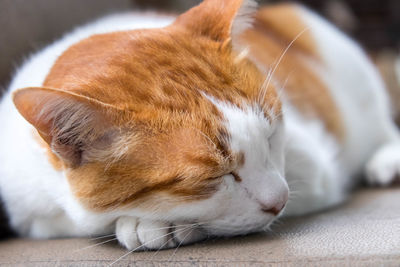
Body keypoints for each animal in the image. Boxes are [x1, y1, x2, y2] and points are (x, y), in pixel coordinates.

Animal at [0, 0, 400, 251]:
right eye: (211, 178)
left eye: (272, 137)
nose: (280, 202)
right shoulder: (30, 209)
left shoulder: (313, 166)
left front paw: (158, 225)